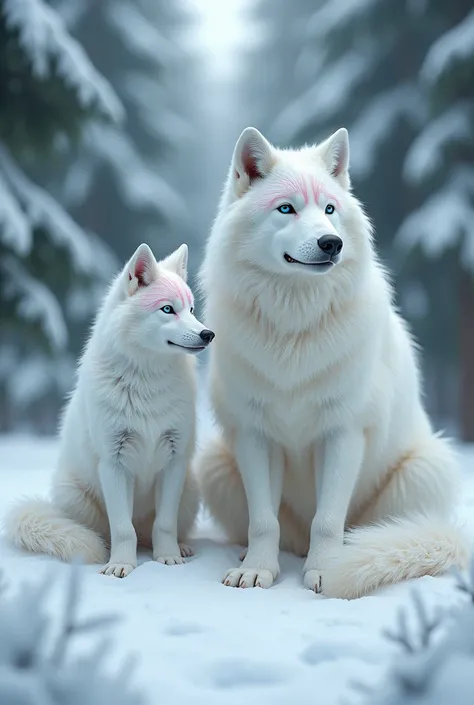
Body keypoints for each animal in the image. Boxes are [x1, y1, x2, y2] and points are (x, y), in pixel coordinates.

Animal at [3, 242, 215, 576]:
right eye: (168, 309)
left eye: (192, 310)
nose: (208, 334)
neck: (146, 383)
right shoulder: (114, 464)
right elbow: (123, 529)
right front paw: (121, 566)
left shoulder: (174, 462)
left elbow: (164, 524)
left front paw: (168, 559)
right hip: (74, 496)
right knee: (105, 533)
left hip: (190, 490)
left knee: (154, 531)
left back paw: (178, 547)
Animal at [196, 125, 470, 592]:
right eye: (286, 209)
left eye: (329, 209)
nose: (331, 242)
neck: (294, 326)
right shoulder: (255, 435)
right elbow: (263, 521)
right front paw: (257, 571)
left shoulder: (342, 433)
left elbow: (326, 520)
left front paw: (325, 571)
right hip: (214, 463)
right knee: (282, 534)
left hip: (424, 470)